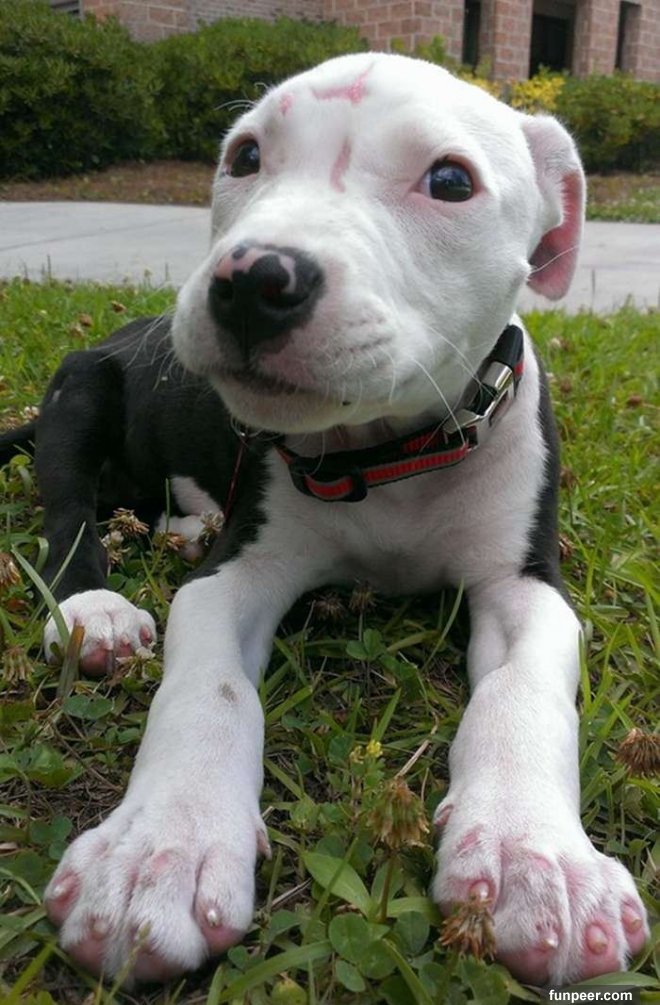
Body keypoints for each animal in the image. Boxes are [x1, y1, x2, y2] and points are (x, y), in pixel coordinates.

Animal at [1, 53, 648, 987]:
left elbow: (520, 692)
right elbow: (210, 688)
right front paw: (157, 852)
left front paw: (537, 860)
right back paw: (98, 609)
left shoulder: (526, 585)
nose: (253, 278)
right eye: (244, 157)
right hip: (78, 385)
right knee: (68, 510)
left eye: (450, 181)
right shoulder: (237, 575)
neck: (388, 453)